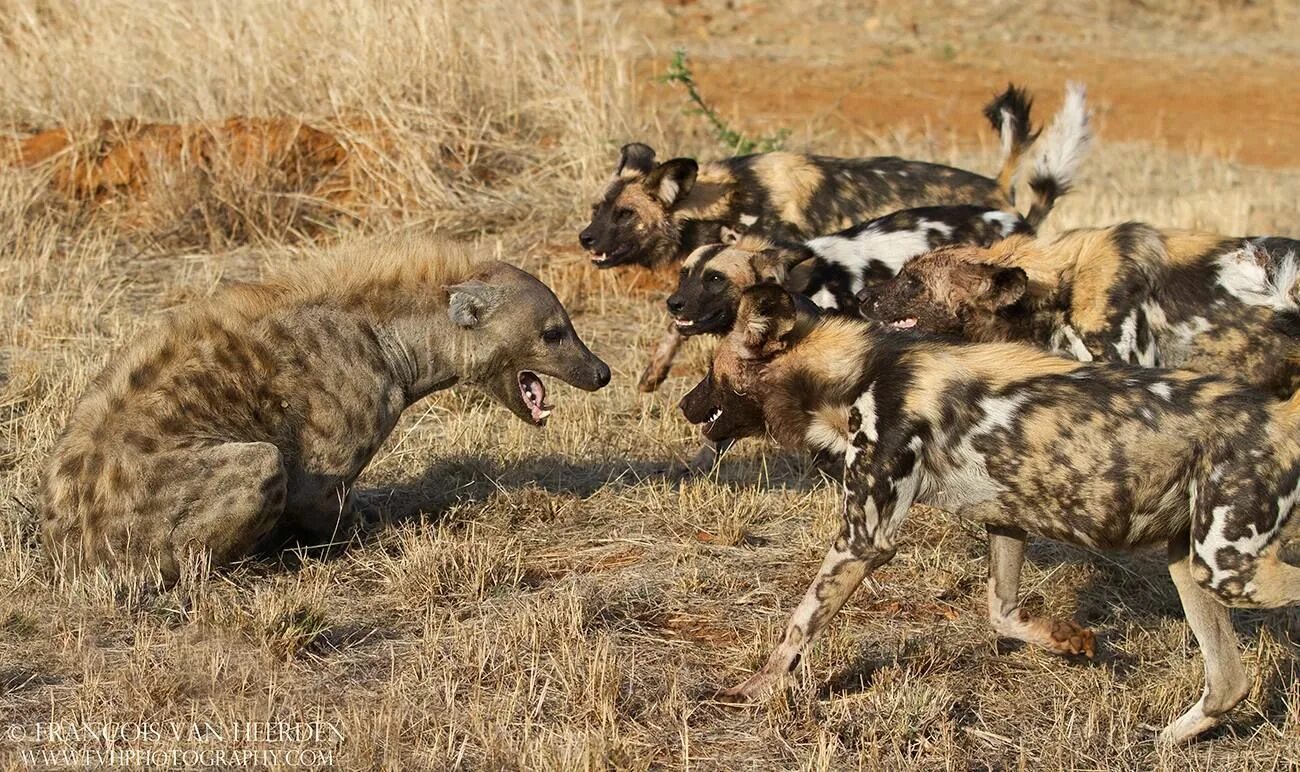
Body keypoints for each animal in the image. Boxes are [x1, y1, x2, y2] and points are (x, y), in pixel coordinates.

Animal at [40, 231, 608, 579]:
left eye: (567, 326)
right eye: (553, 333)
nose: (602, 371)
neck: (391, 338)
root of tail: (66, 545)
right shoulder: (321, 464)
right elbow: (328, 508)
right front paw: (379, 535)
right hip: (241, 469)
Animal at [585, 84, 1092, 389]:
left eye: (625, 215)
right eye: (597, 209)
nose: (585, 238)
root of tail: (1004, 199)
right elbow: (675, 335)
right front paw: (653, 375)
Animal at [681, 284, 1300, 743]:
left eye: (711, 370)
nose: (684, 404)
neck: (857, 373)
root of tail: (1282, 415)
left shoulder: (864, 540)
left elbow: (797, 628)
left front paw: (751, 691)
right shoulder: (1006, 517)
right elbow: (1002, 613)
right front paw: (1065, 640)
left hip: (1228, 567)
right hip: (1192, 562)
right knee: (1228, 682)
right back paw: (1164, 740)